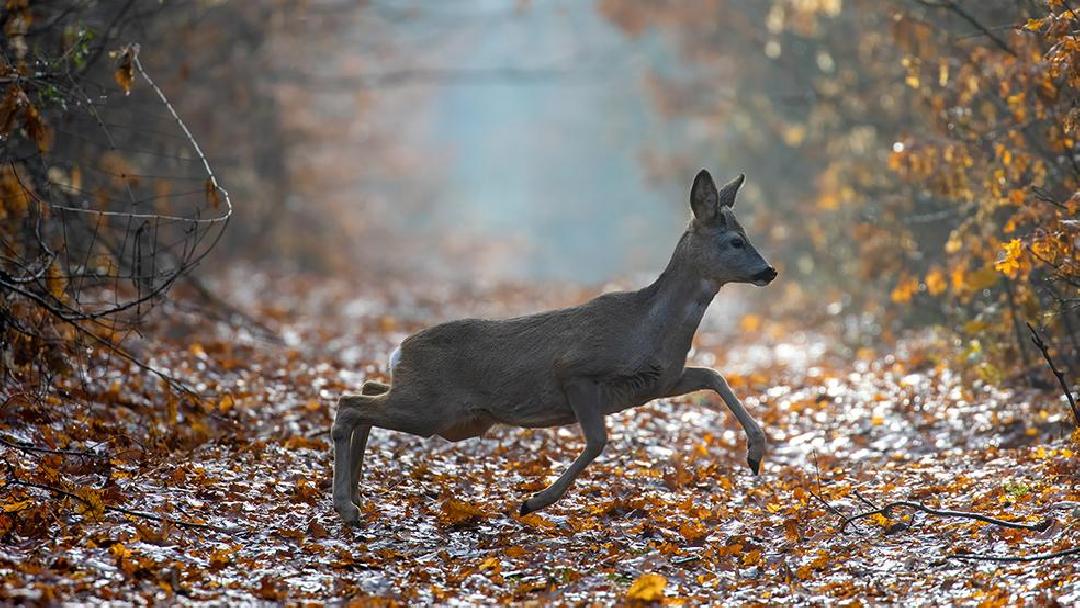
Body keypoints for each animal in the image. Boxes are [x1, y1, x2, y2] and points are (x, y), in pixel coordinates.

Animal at [330, 170, 777, 522]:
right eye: (736, 241)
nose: (769, 270)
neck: (648, 328)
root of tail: (400, 350)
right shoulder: (577, 372)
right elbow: (597, 440)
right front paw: (535, 501)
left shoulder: (660, 381)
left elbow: (714, 376)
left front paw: (755, 454)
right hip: (432, 409)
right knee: (350, 405)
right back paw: (346, 506)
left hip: (442, 414)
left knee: (367, 393)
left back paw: (357, 496)